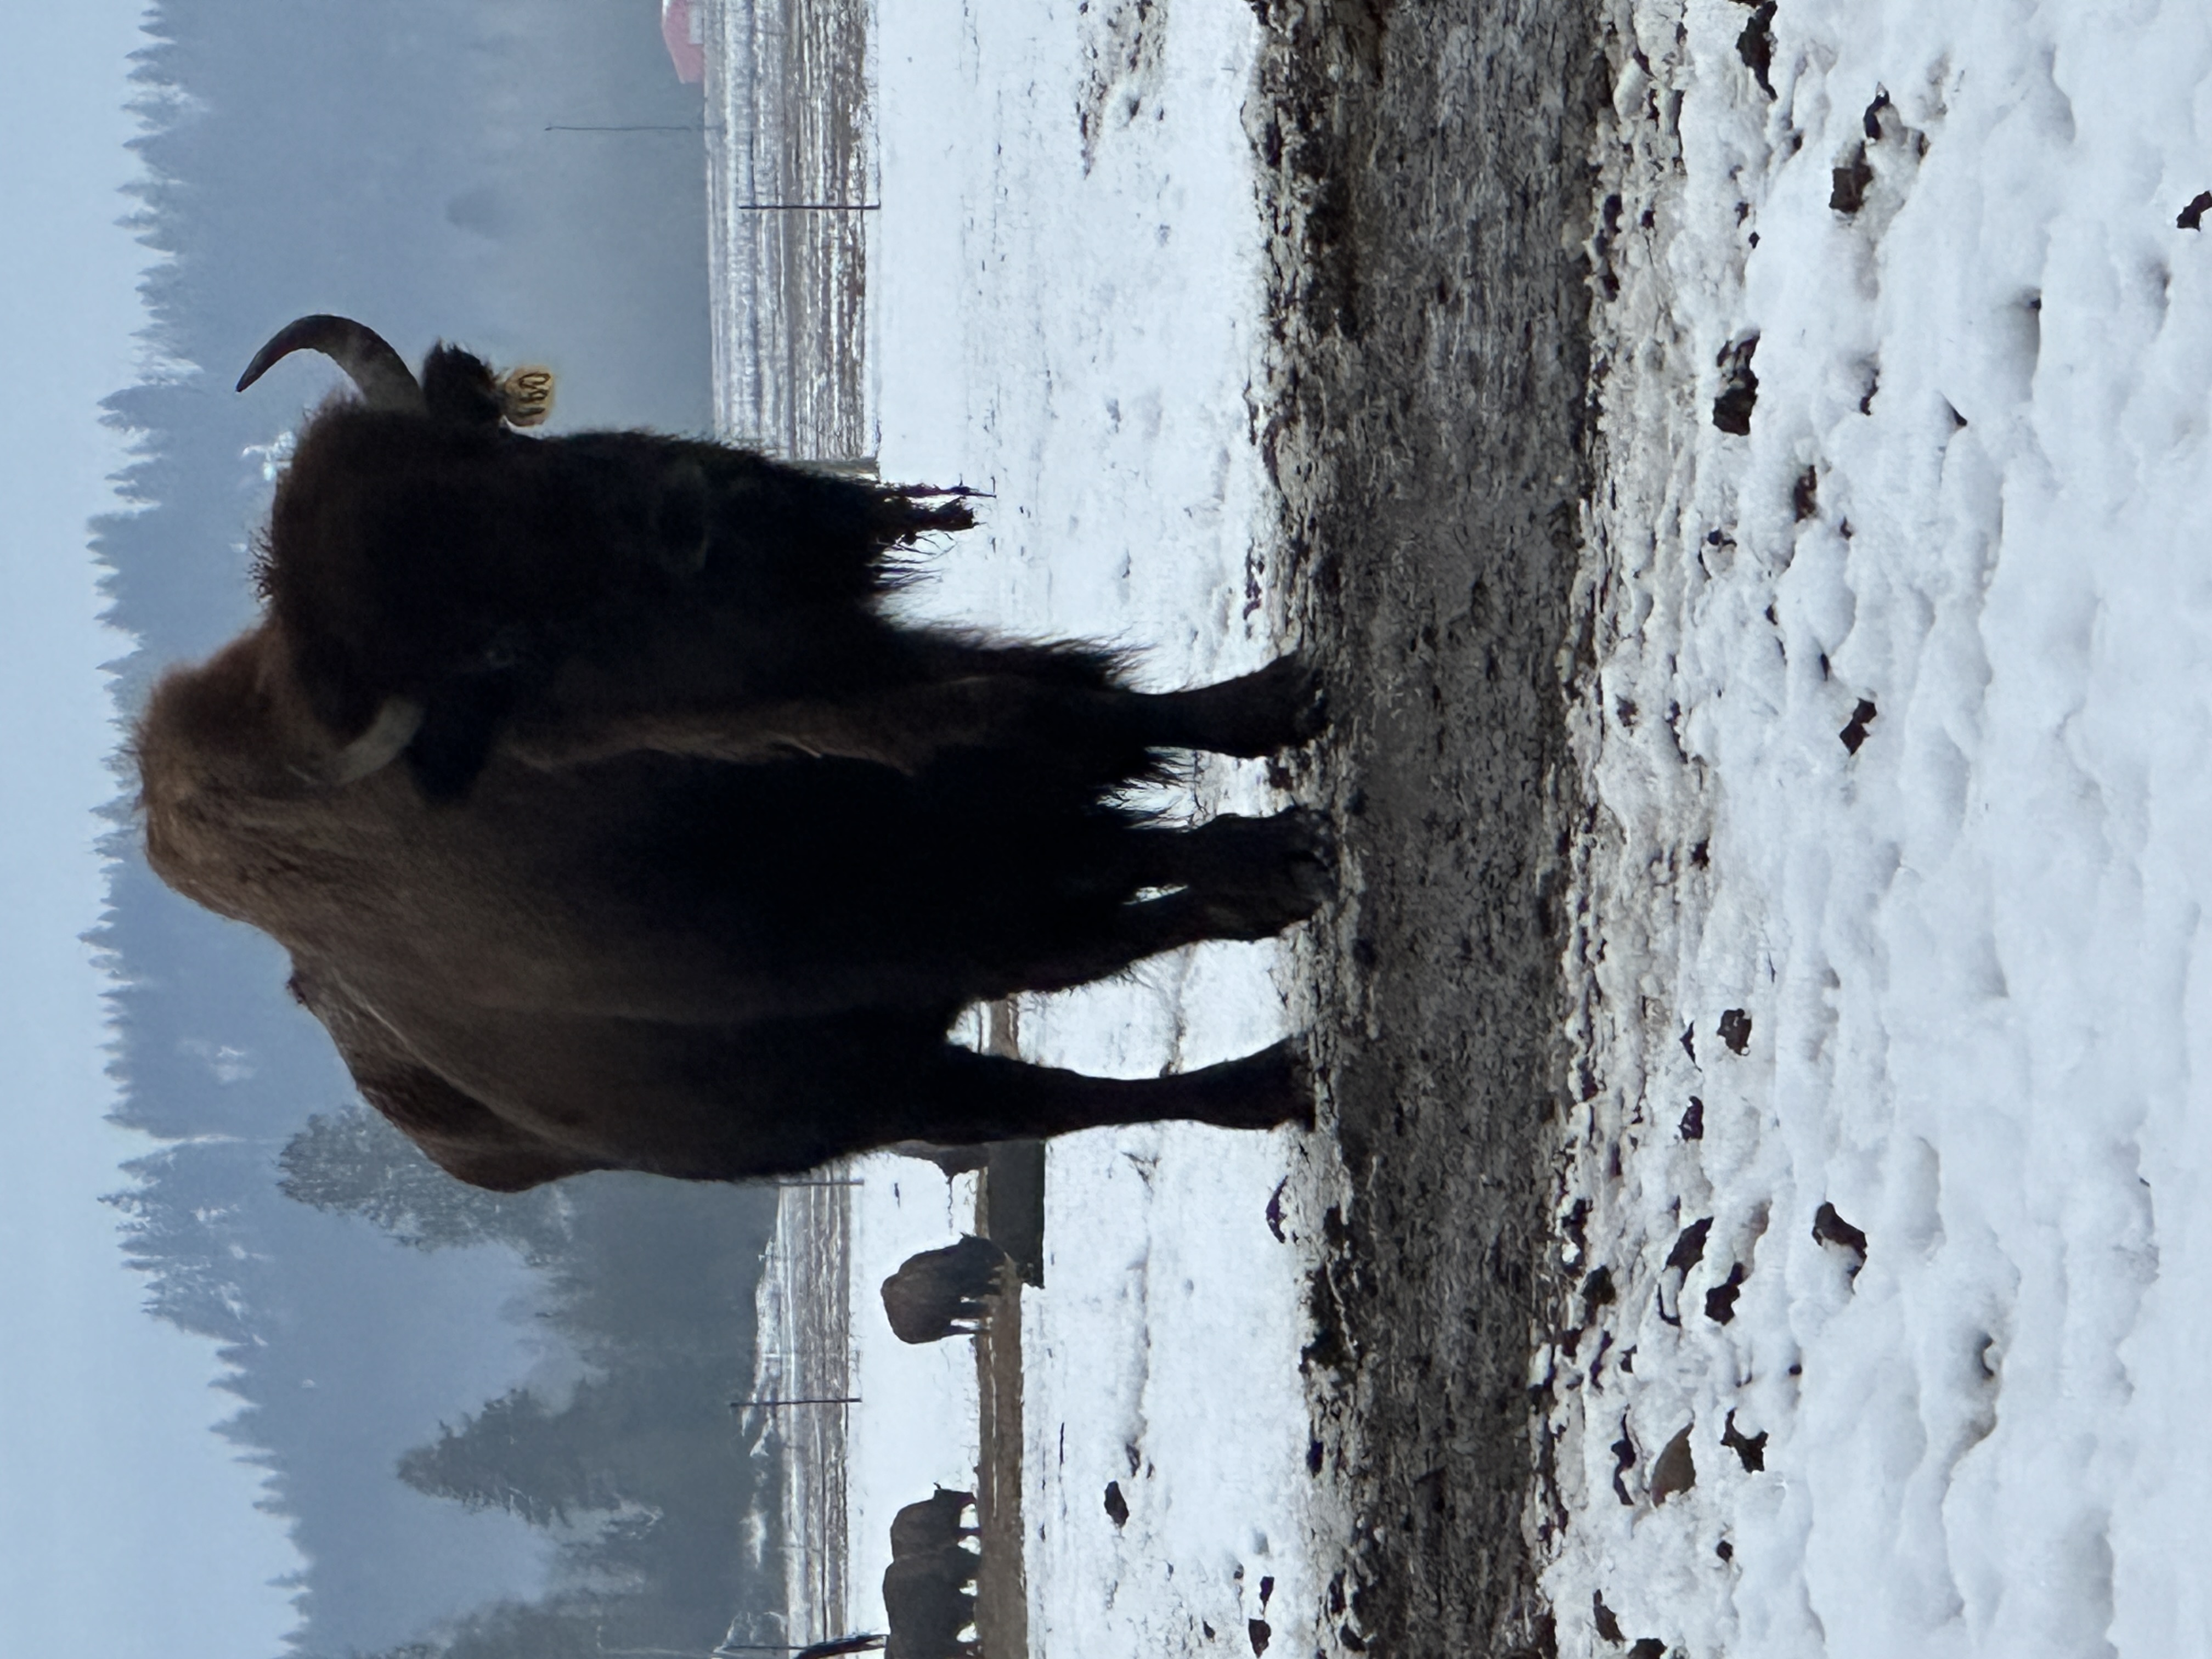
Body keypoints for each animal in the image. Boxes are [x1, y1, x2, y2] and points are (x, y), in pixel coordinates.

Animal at [137, 316, 1333, 1191]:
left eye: (493, 444)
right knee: (1056, 1093)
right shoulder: (946, 902)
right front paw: (1280, 853)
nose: (689, 507)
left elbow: (1106, 713)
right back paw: (1269, 1067)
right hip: (871, 1085)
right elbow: (1078, 769)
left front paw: (1281, 706)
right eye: (503, 644)